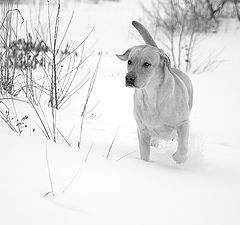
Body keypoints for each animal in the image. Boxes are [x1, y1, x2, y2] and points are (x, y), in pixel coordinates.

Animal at [116, 21, 193, 163]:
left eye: (147, 64)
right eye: (129, 61)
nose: (129, 78)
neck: (152, 96)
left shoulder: (183, 123)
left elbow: (183, 147)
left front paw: (178, 158)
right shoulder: (143, 130)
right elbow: (144, 153)